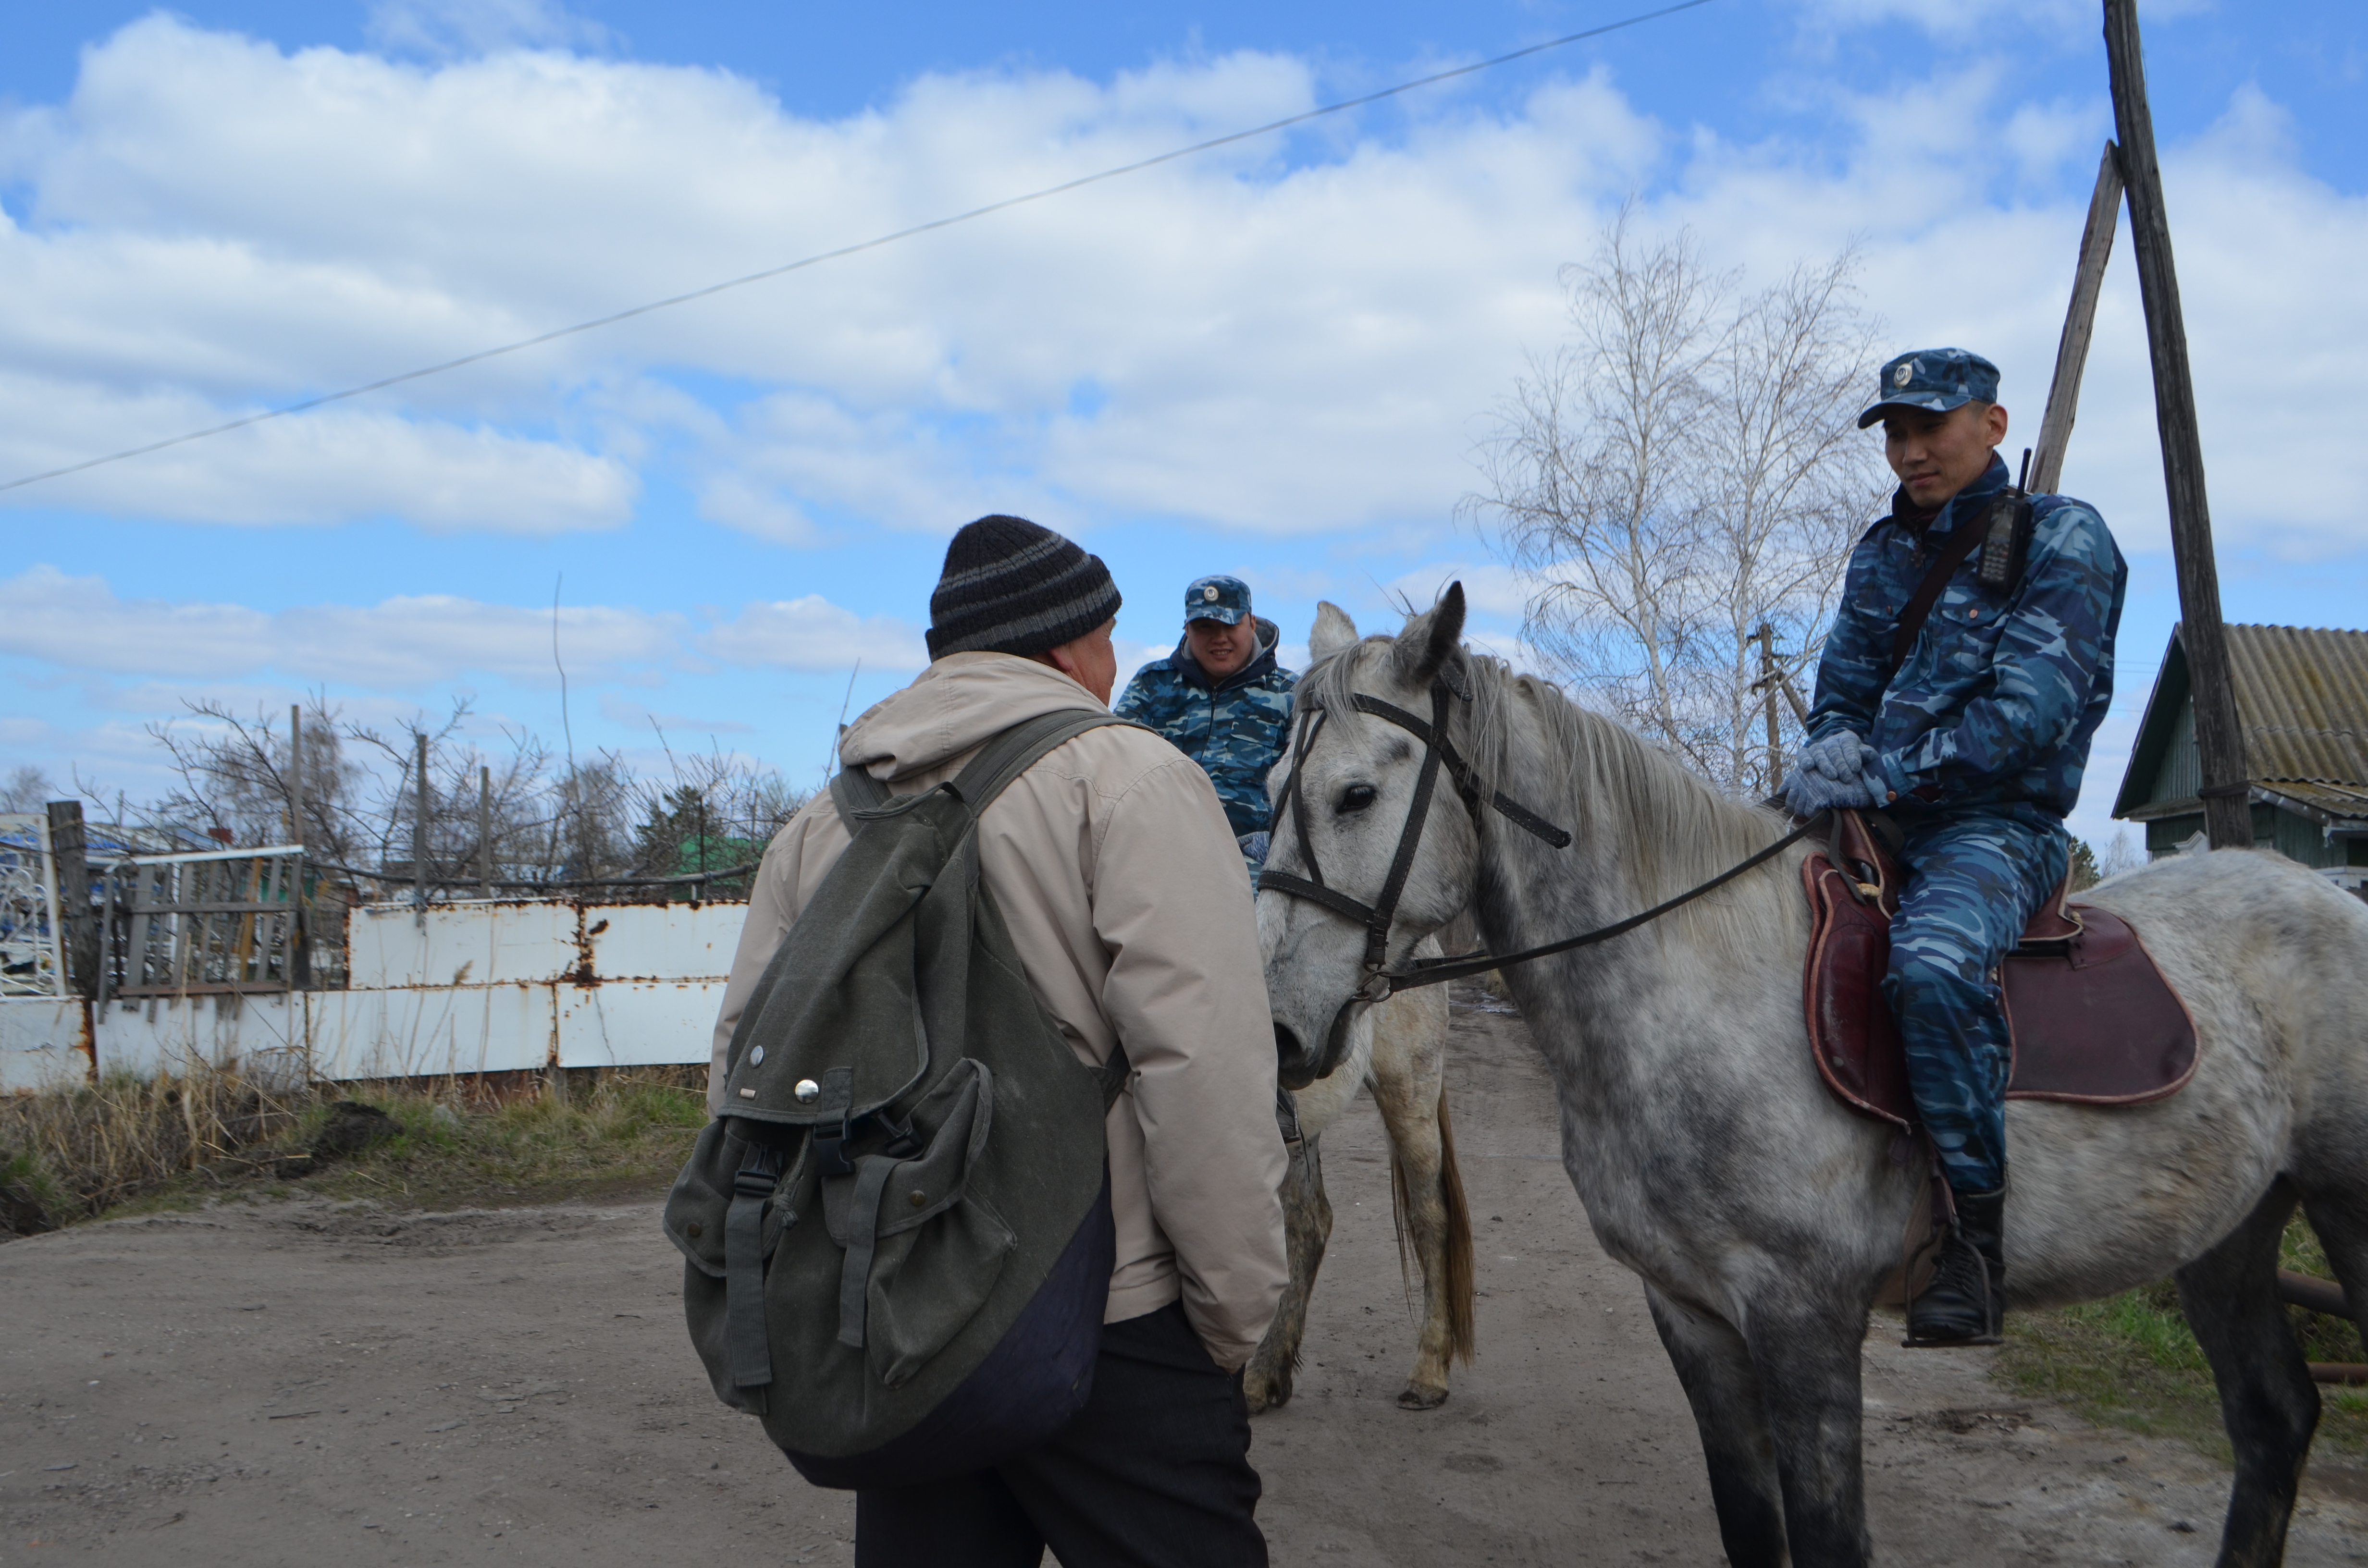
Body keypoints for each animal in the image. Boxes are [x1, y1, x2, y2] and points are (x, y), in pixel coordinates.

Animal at [1259, 589, 2368, 1568]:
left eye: (1355, 795)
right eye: (1269, 788)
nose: (1275, 1032)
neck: (1696, 988)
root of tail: (2320, 894)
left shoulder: (1804, 1321)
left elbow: (1830, 1537)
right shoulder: (1693, 1315)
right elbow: (1752, 1528)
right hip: (2228, 1232)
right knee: (2273, 1419)